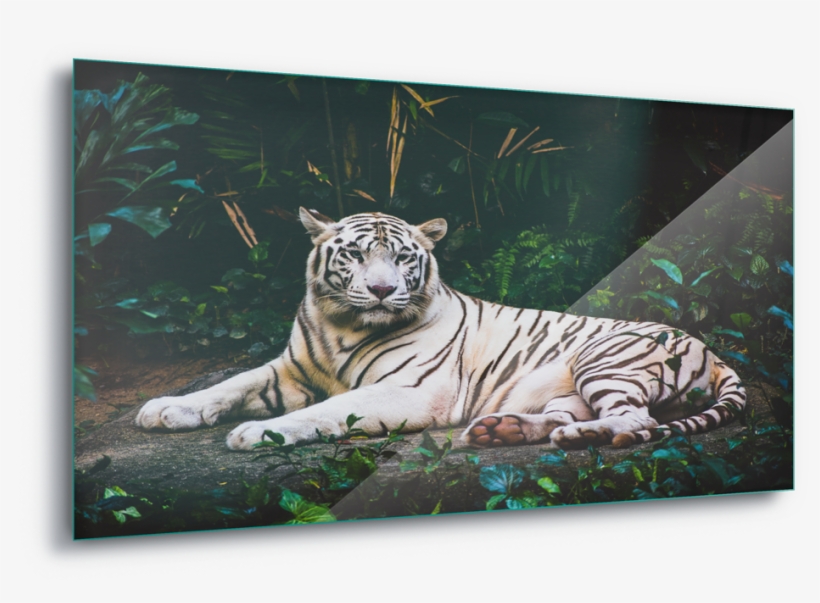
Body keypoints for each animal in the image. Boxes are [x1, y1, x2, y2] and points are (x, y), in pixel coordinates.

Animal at [135, 208, 746, 451]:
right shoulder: (289, 370)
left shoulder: (412, 390)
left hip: (605, 360)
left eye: (403, 258)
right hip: (567, 388)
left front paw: (256, 433)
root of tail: (715, 353)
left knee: (635, 420)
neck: (341, 325)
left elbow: (327, 410)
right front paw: (164, 409)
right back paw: (500, 431)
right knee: (572, 415)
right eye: (355, 255)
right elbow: (229, 384)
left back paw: (578, 438)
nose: (383, 290)